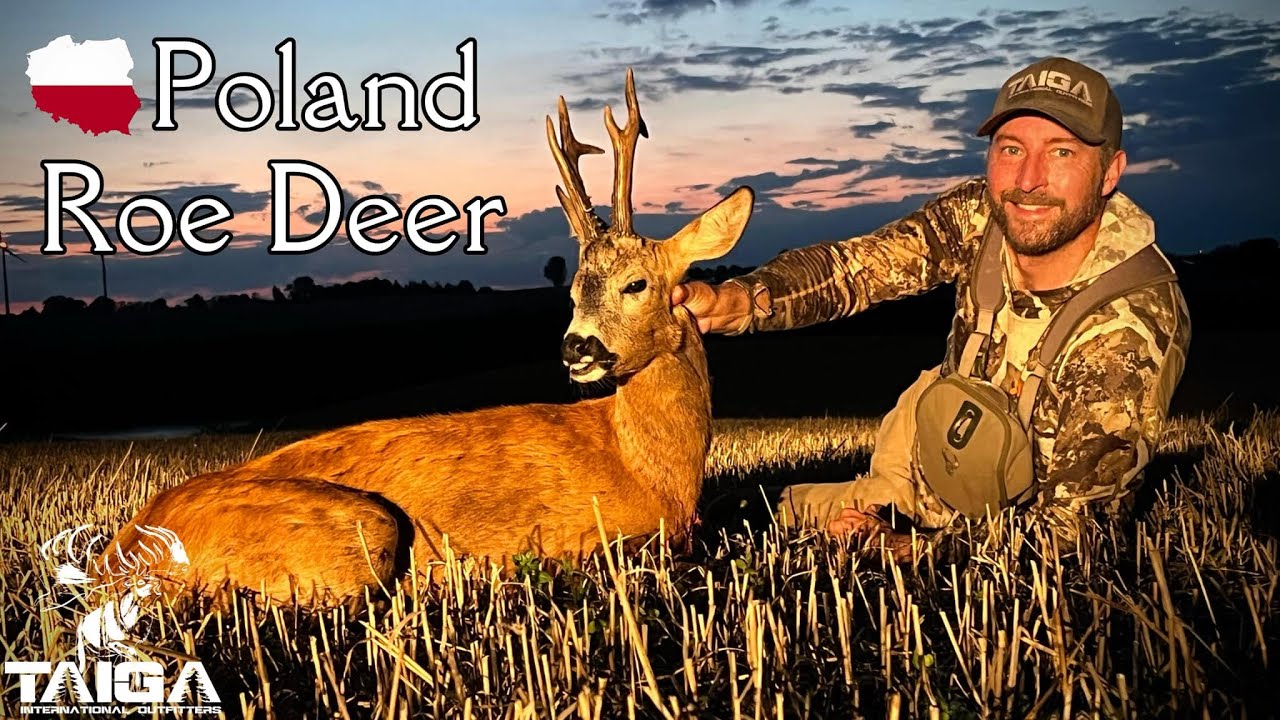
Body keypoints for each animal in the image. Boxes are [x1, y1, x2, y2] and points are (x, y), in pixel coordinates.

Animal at [97, 68, 755, 608]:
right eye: (572, 293)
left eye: (636, 283)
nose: (577, 347)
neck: (650, 467)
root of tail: (118, 556)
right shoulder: (610, 534)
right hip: (363, 528)